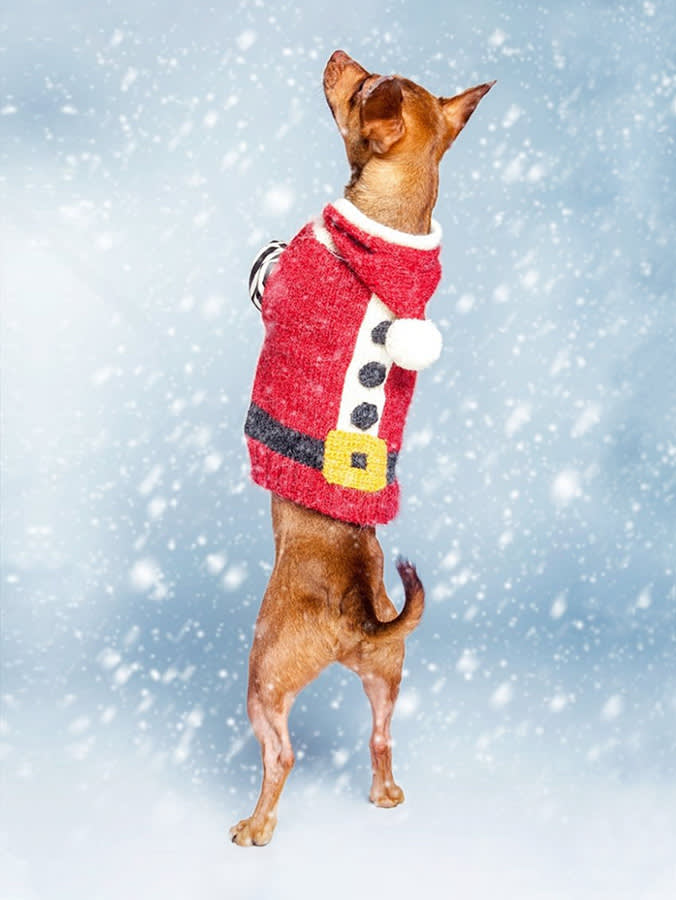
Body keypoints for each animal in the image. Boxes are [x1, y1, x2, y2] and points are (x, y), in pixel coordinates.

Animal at [231, 49, 492, 852]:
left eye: (356, 91)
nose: (340, 55)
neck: (393, 225)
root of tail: (355, 614)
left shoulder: (283, 284)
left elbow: (269, 273)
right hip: (386, 668)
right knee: (380, 735)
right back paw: (384, 796)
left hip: (264, 677)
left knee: (281, 754)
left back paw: (256, 827)